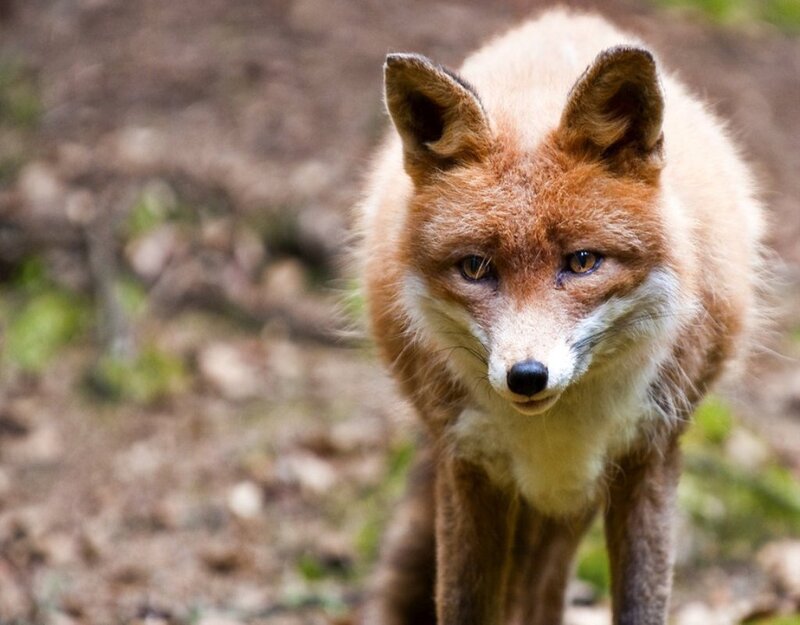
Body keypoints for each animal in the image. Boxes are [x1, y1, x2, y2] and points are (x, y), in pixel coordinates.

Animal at [356, 9, 765, 625]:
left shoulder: (649, 456)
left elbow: (641, 605)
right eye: (475, 267)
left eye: (582, 261)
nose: (527, 377)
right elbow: (465, 605)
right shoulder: (468, 465)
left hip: (575, 501)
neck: (556, 433)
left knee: (541, 593)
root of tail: (562, 16)